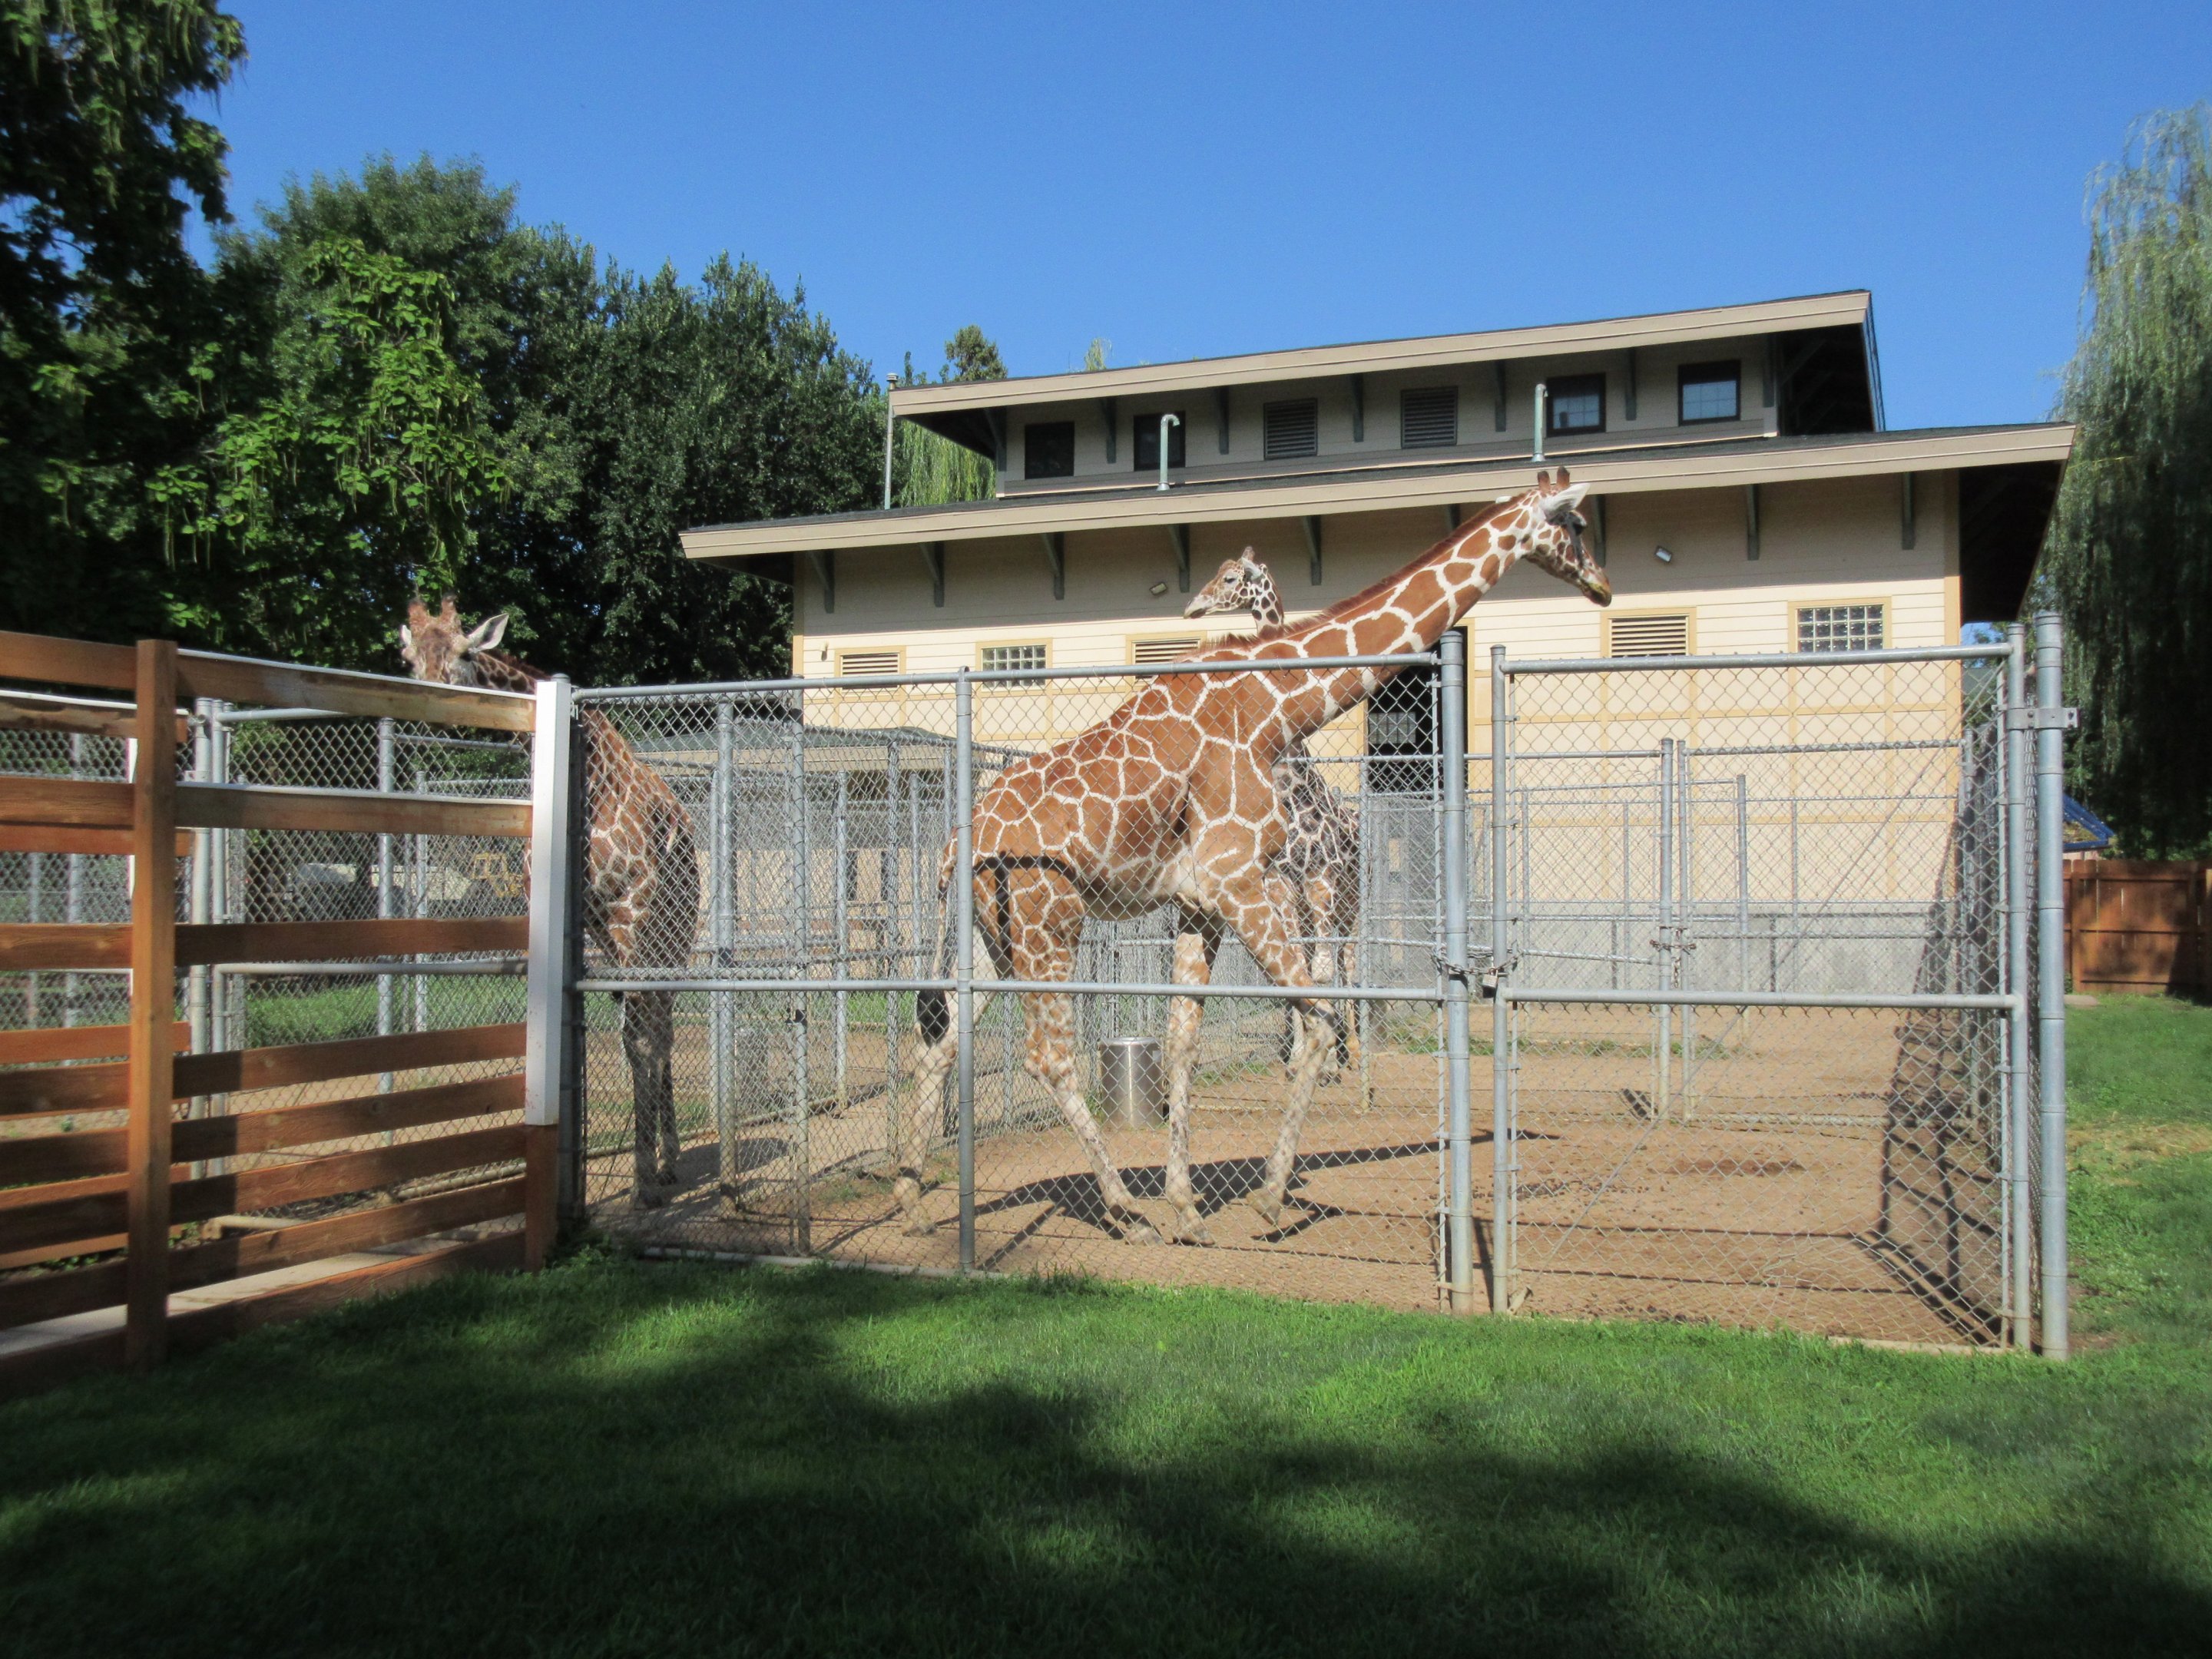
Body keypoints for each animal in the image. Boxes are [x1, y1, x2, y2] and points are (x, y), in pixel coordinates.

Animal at [397, 598, 701, 1208]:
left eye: (465, 653)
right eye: (409, 657)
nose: (433, 708)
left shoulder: (630, 908)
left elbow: (639, 1039)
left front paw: (642, 1182)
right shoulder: (576, 921)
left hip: (670, 933)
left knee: (661, 1026)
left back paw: (665, 1161)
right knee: (656, 1021)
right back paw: (666, 1158)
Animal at [1182, 550, 1361, 1077]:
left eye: (1231, 578)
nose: (1194, 607)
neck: (1294, 784)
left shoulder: (1320, 879)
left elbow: (1318, 972)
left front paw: (1325, 1062)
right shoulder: (1282, 885)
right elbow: (1295, 969)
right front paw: (1299, 1058)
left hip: (1351, 904)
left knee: (1347, 963)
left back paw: (1354, 1054)